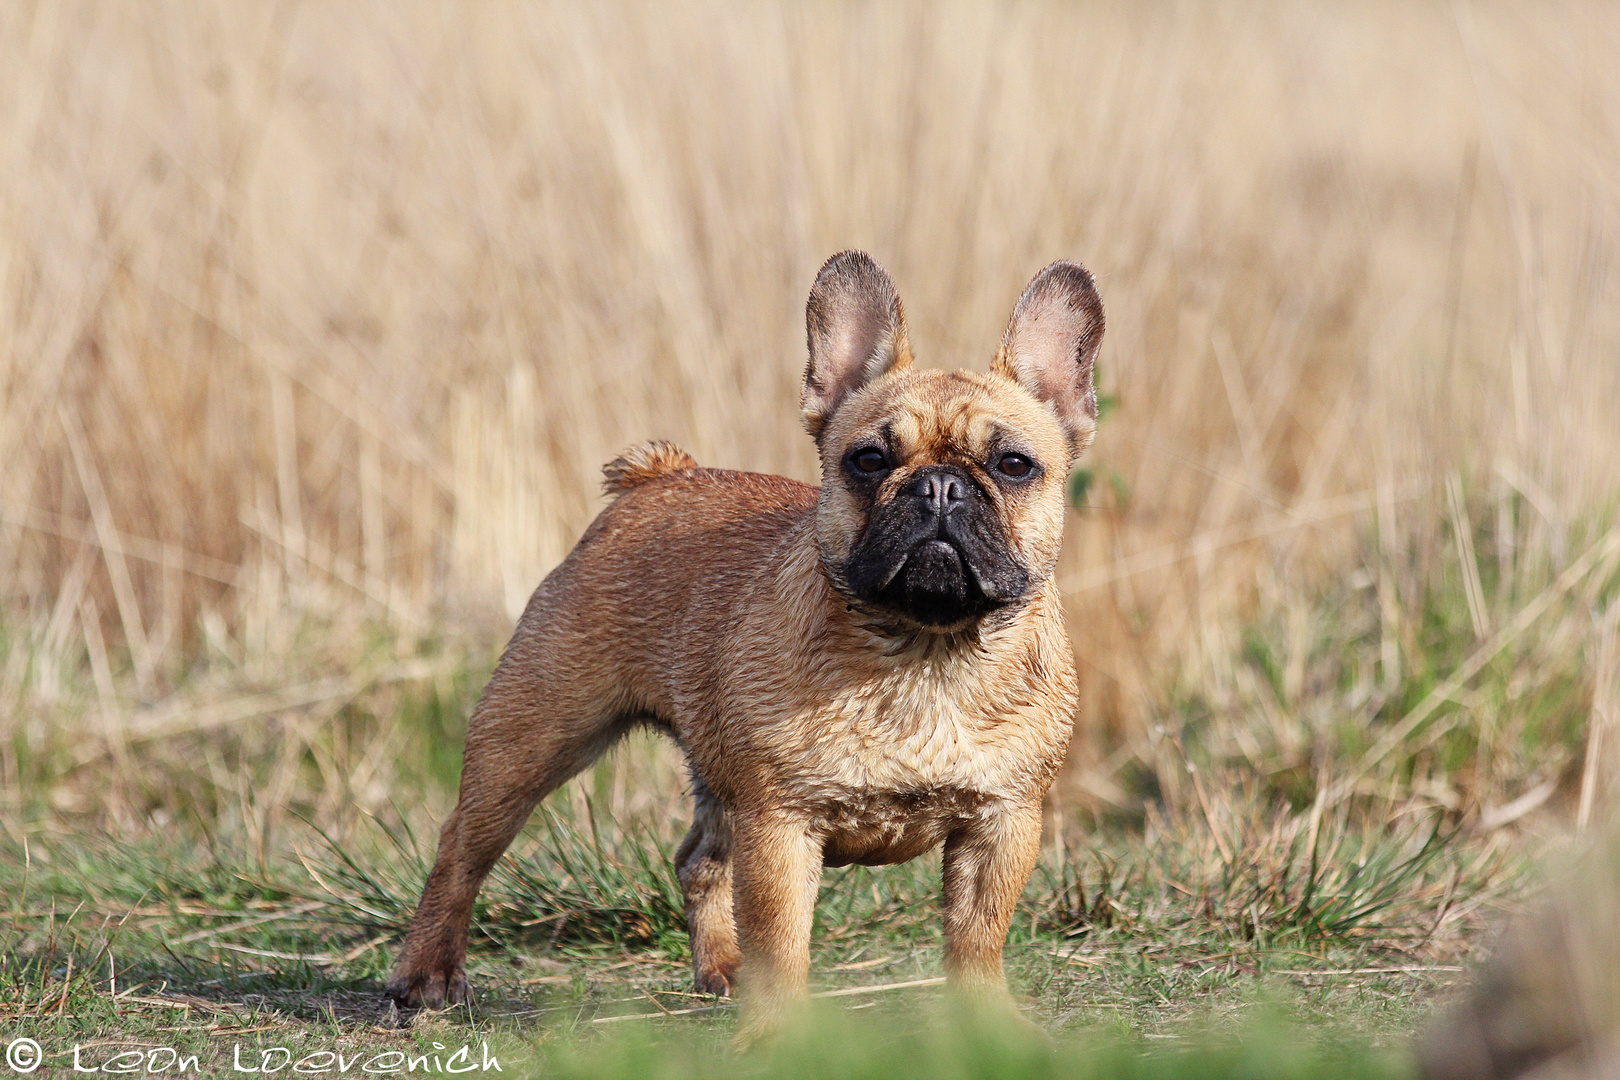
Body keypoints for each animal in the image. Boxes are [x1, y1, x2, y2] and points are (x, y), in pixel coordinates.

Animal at [385, 254, 1108, 1036]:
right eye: (868, 460)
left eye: (1013, 465)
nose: (940, 487)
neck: (924, 648)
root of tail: (659, 477)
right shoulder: (780, 825)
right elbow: (784, 936)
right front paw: (778, 1033)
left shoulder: (1001, 824)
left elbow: (978, 933)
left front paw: (986, 1022)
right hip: (533, 734)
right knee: (462, 848)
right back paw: (425, 974)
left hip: (712, 767)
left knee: (700, 859)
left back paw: (723, 968)